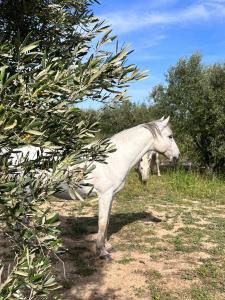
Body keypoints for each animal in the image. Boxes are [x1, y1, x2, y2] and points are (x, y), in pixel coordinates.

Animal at [1, 116, 178, 258]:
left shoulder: (111, 196)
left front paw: (107, 245)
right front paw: (102, 252)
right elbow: (102, 222)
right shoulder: (105, 195)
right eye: (170, 136)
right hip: (26, 195)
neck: (114, 158)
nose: (177, 156)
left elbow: (107, 221)